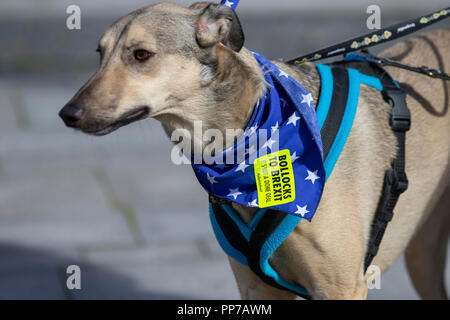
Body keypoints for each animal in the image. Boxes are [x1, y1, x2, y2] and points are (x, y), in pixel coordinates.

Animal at [59, 1, 450, 298]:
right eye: (100, 54)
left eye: (141, 54)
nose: (67, 114)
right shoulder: (258, 287)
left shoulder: (341, 288)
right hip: (423, 253)